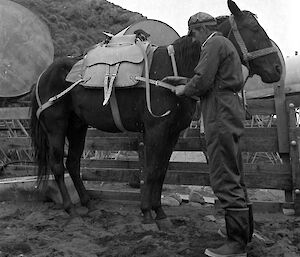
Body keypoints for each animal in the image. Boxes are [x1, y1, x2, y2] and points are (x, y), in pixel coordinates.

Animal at [29, 0, 282, 225]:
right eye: (254, 29)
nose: (277, 68)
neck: (175, 66)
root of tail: (43, 74)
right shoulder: (155, 131)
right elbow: (150, 171)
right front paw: (147, 213)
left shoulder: (171, 133)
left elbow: (160, 171)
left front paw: (160, 213)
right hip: (56, 127)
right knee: (58, 165)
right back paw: (70, 209)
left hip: (78, 126)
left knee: (73, 163)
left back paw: (88, 204)